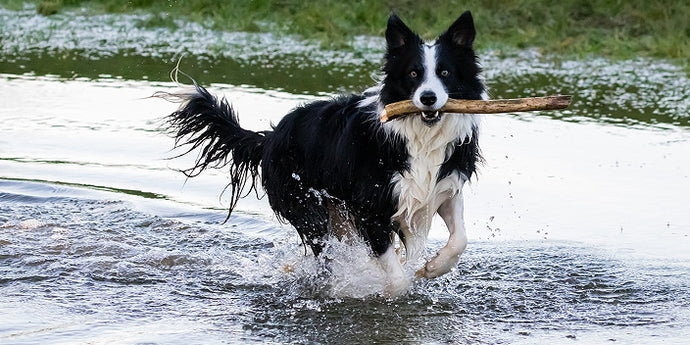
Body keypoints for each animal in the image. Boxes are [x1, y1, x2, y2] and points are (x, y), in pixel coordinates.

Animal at [161, 11, 484, 296]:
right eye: (414, 74)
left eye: (445, 73)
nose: (428, 98)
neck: (419, 135)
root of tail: (271, 137)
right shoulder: (369, 207)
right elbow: (395, 274)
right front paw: (391, 291)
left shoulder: (443, 186)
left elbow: (460, 239)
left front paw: (431, 268)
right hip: (308, 207)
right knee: (324, 255)